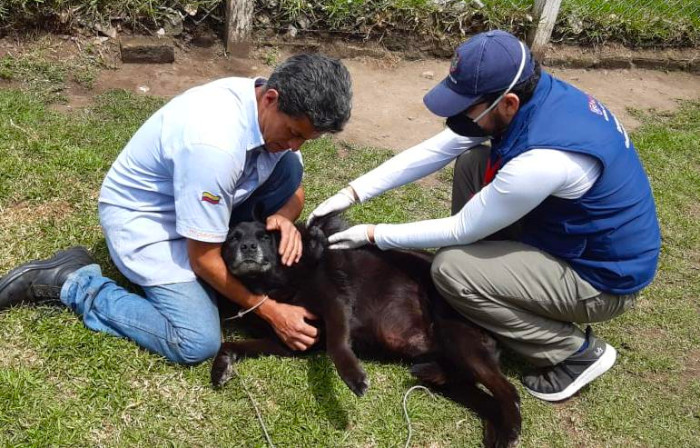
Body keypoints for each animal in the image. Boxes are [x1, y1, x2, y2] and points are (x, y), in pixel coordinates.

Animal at [212, 216, 520, 444]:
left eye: (264, 237)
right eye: (233, 238)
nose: (248, 246)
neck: (274, 280)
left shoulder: (334, 301)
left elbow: (337, 345)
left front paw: (353, 377)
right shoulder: (296, 340)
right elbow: (230, 345)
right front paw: (221, 366)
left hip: (460, 341)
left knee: (509, 390)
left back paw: (511, 432)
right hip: (452, 374)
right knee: (489, 401)